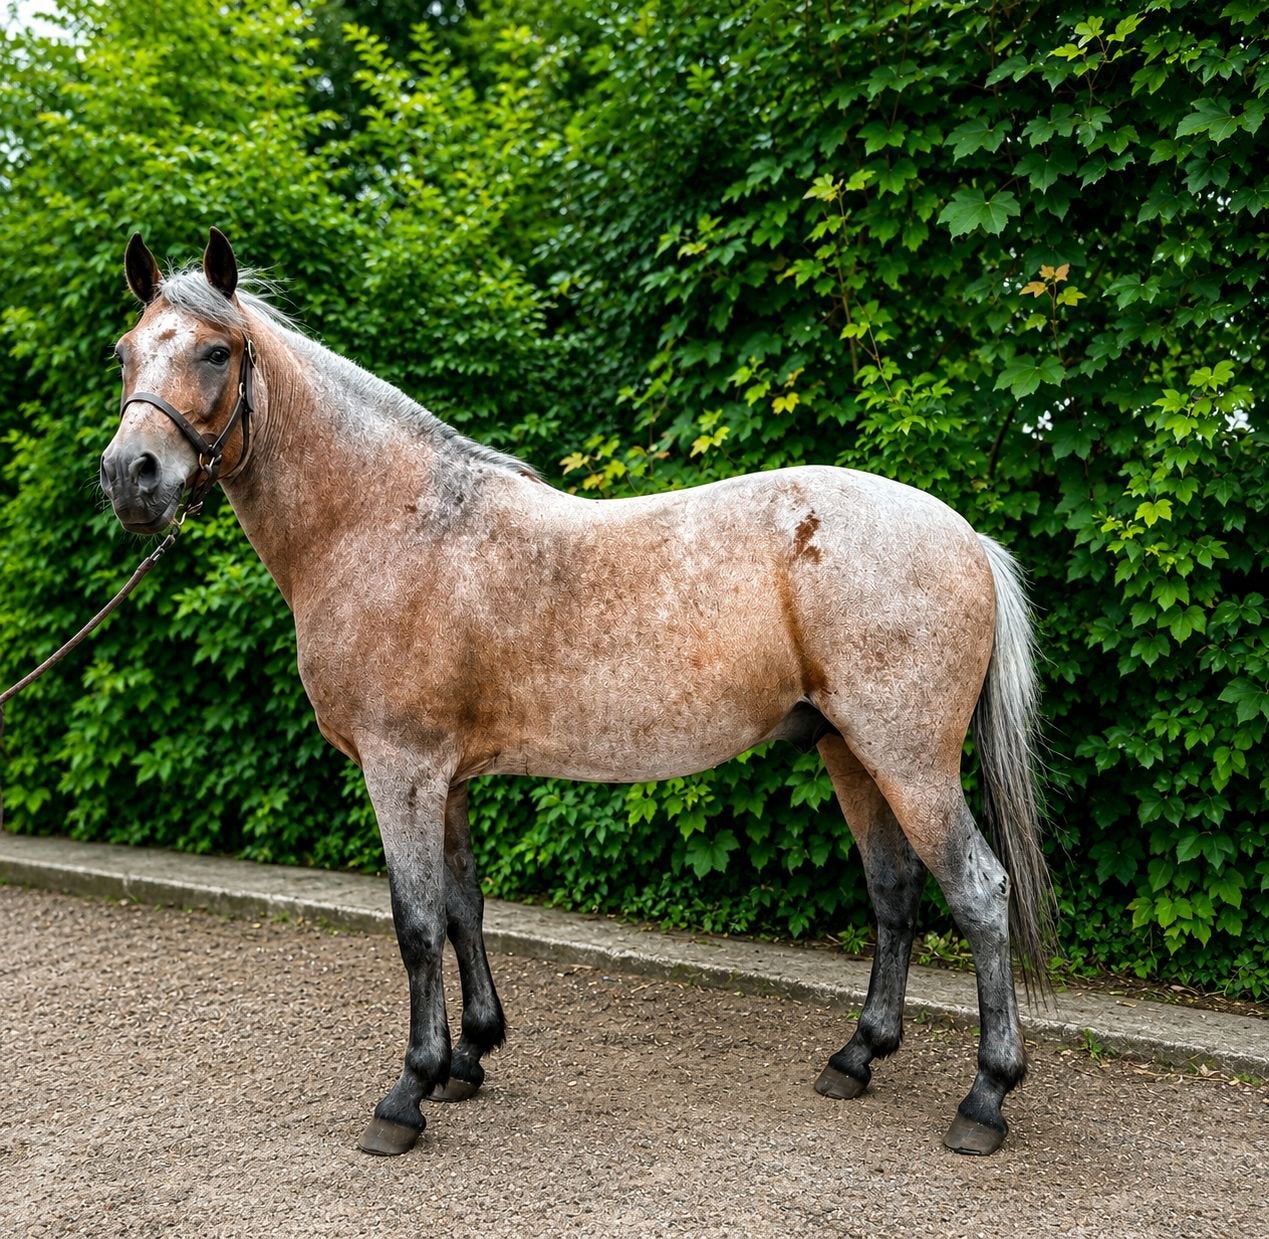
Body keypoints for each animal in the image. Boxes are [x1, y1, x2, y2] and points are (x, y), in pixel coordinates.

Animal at [99, 229, 1054, 1158]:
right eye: (125, 353)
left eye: (216, 352)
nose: (129, 475)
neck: (392, 523)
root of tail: (963, 535)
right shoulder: (445, 779)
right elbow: (463, 906)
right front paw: (469, 1055)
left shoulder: (400, 769)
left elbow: (416, 924)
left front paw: (408, 1092)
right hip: (847, 750)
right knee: (893, 890)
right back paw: (856, 1056)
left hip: (907, 760)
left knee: (976, 892)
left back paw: (985, 1097)